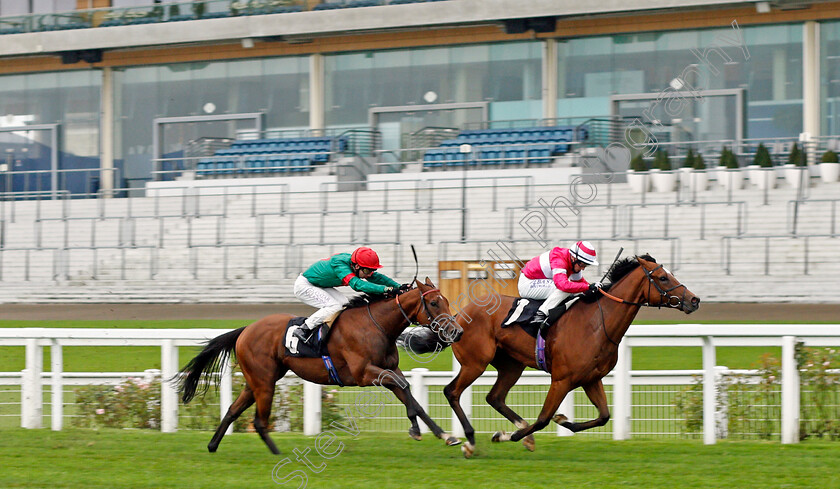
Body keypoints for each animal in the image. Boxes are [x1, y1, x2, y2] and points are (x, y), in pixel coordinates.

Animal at [178, 278, 462, 454]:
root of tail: (246, 329)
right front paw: (417, 429)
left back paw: (213, 445)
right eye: (434, 303)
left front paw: (443, 434)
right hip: (264, 382)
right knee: (259, 421)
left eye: (447, 301)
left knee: (232, 410)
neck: (375, 325)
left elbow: (408, 393)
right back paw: (276, 452)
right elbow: (405, 388)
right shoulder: (364, 373)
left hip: (256, 381)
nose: (457, 332)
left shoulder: (388, 370)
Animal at [426, 254, 696, 456]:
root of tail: (458, 316)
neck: (597, 323)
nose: (694, 300)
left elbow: (603, 416)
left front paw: (562, 420)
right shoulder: (561, 380)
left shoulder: (591, 379)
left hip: (511, 366)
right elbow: (543, 418)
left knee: (495, 397)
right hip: (475, 363)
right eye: (663, 277)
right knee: (453, 392)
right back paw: (470, 442)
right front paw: (510, 435)